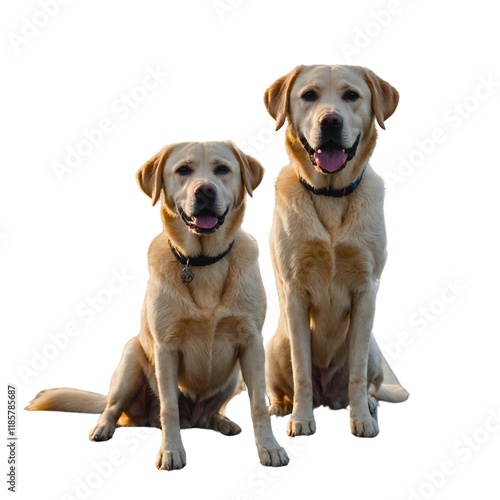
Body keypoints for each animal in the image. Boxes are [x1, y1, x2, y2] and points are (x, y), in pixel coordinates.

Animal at [27, 141, 292, 468]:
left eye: (222, 169)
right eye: (183, 170)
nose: (205, 191)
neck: (202, 262)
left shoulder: (252, 343)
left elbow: (258, 404)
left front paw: (270, 448)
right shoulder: (166, 348)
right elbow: (169, 407)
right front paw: (171, 451)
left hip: (234, 379)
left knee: (208, 414)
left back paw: (222, 422)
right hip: (129, 361)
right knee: (114, 407)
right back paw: (103, 427)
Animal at [264, 65, 408, 438]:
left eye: (351, 95)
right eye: (309, 95)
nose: (330, 121)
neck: (330, 196)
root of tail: (327, 396)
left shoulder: (365, 292)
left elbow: (357, 373)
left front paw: (362, 420)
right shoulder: (295, 293)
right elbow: (301, 370)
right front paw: (301, 419)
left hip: (373, 351)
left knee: (367, 381)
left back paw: (367, 404)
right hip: (275, 347)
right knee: (280, 383)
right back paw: (280, 406)